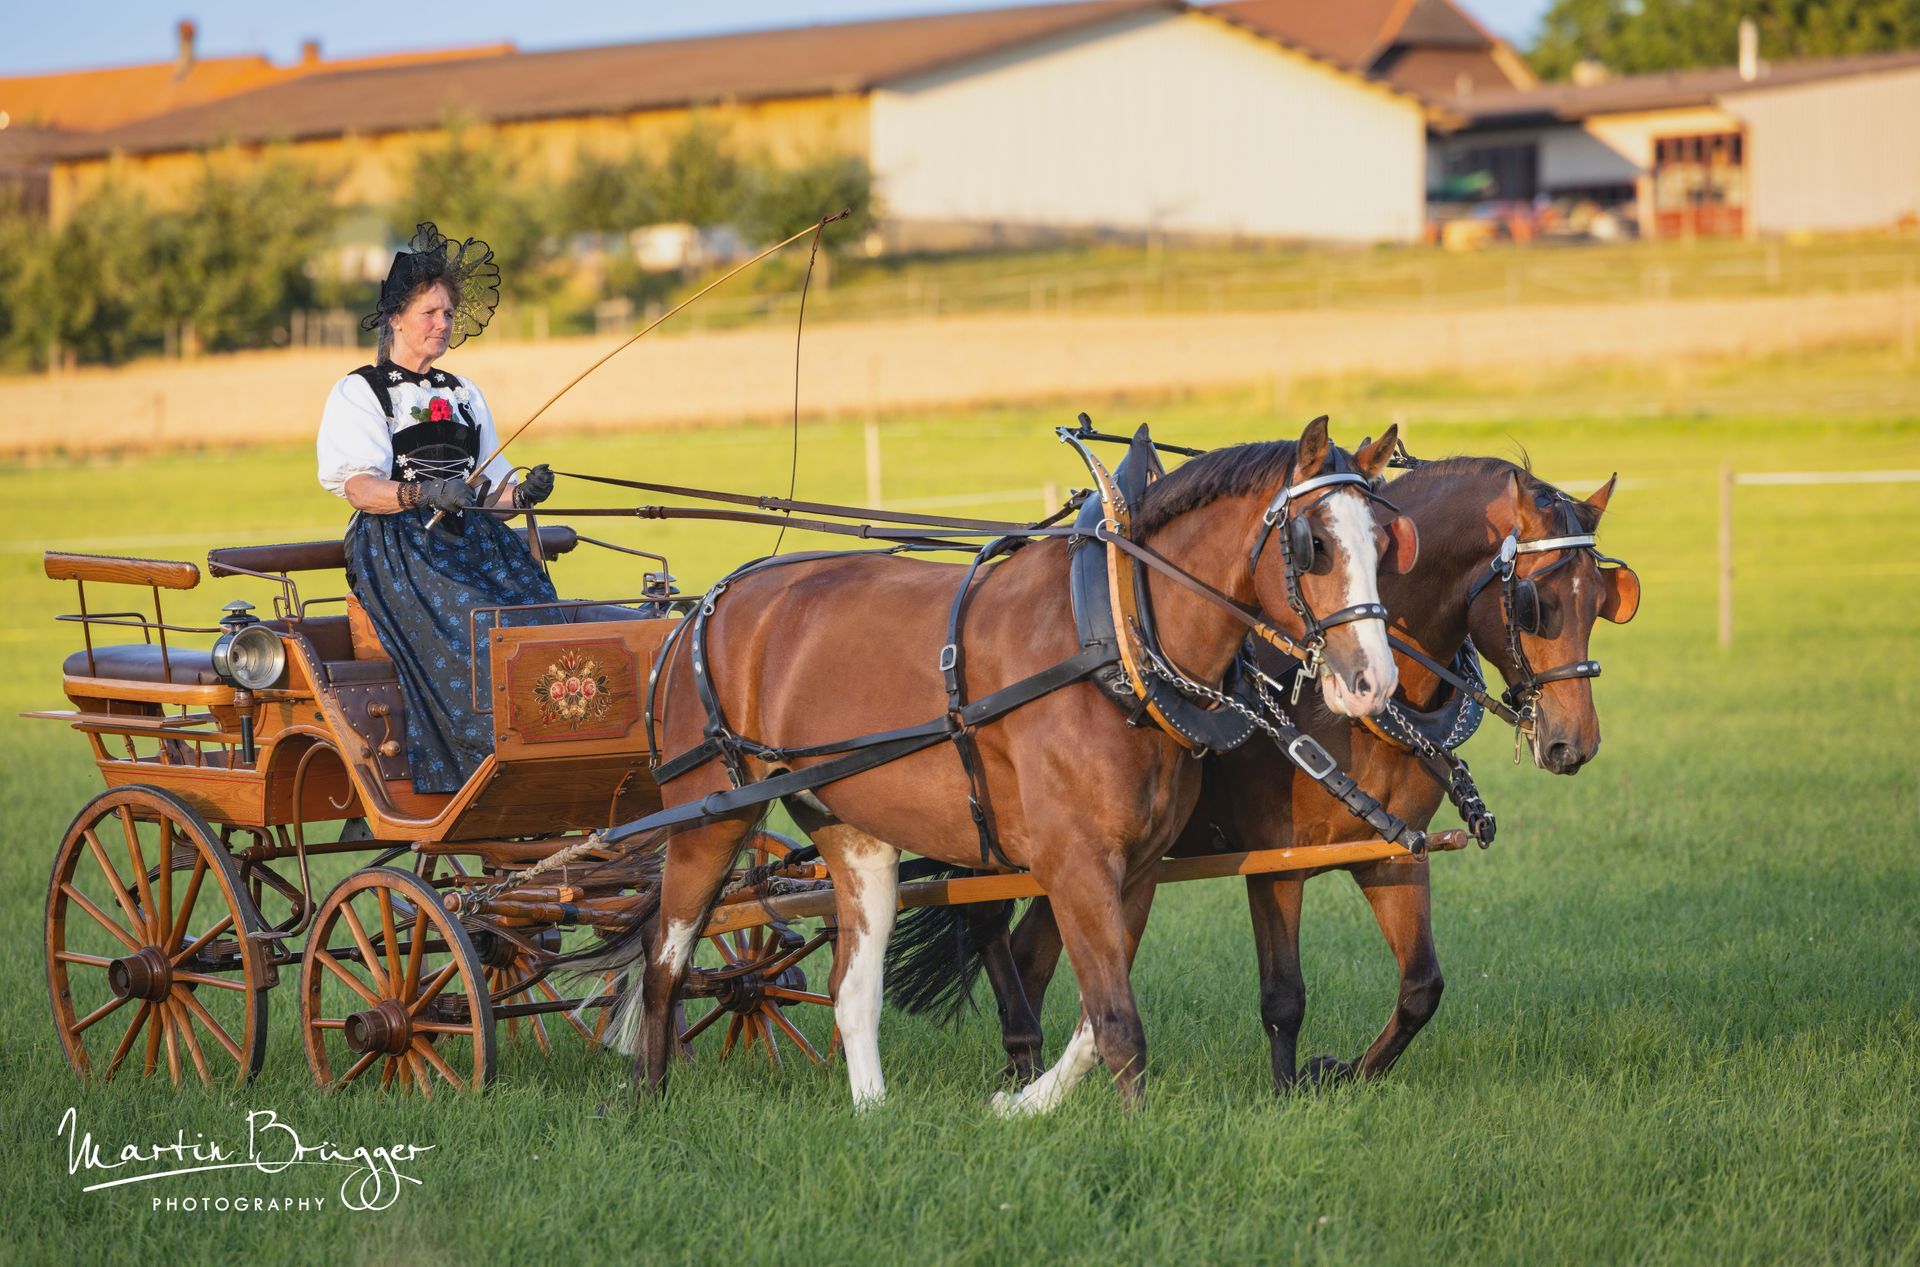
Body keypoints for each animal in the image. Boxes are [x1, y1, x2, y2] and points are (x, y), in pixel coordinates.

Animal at [600, 417, 1416, 1111]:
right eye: (1315, 545)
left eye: (1385, 543)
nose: (1372, 681)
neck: (1115, 636)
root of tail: (704, 606)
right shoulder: (1076, 863)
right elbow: (1118, 1022)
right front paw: (1128, 1131)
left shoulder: (1139, 867)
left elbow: (1092, 1022)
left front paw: (1024, 1103)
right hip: (710, 813)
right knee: (665, 955)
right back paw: (648, 1096)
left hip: (851, 831)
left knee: (851, 983)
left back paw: (874, 1114)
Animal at [887, 455, 1639, 1092]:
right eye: (1535, 603)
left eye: (1604, 600)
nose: (1574, 743)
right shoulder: (1275, 858)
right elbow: (1284, 995)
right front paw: (1285, 1090)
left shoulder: (1391, 851)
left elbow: (1421, 987)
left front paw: (1341, 1073)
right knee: (988, 926)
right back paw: (1020, 1054)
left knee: (1029, 949)